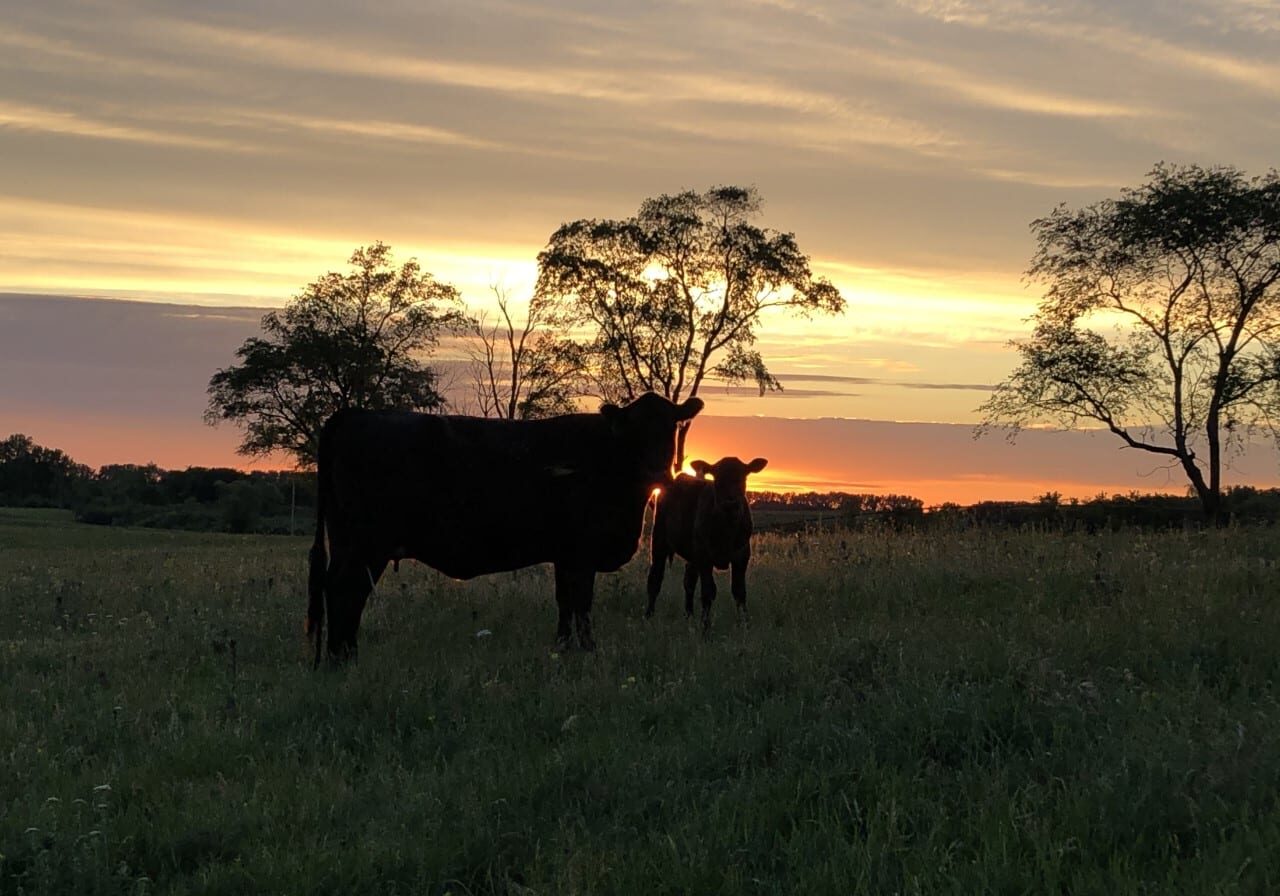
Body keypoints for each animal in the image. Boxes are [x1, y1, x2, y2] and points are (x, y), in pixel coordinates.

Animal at [306, 392, 704, 665]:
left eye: (671, 426)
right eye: (635, 432)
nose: (658, 472)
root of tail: (354, 414)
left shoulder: (564, 555)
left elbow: (565, 603)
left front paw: (562, 650)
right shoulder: (582, 553)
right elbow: (582, 604)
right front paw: (589, 650)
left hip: (346, 540)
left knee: (338, 589)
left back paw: (340, 656)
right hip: (365, 544)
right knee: (346, 590)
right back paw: (343, 658)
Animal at [645, 456, 768, 633]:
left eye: (743, 476)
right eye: (717, 478)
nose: (730, 503)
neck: (726, 530)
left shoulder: (742, 555)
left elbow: (739, 592)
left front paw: (745, 625)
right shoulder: (704, 556)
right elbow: (708, 592)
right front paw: (705, 628)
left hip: (692, 554)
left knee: (688, 581)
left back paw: (689, 616)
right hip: (659, 539)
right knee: (655, 578)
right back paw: (649, 616)